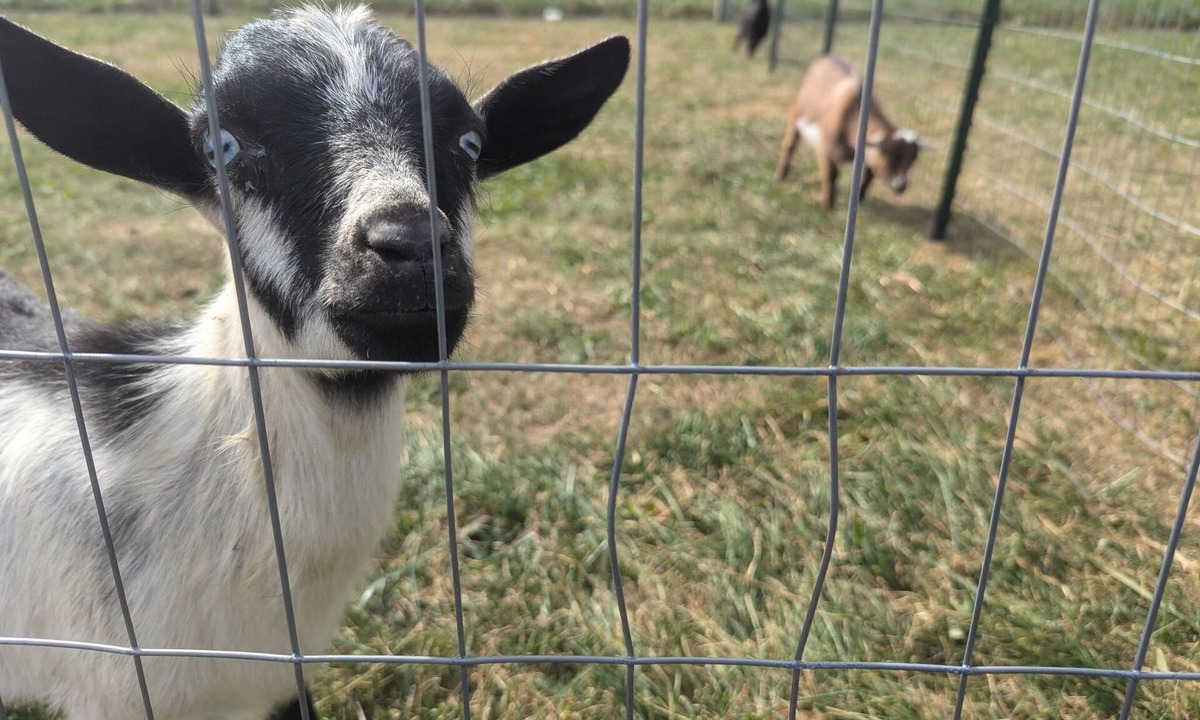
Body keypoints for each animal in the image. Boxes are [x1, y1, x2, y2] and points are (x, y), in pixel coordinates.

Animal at [774, 55, 921, 209]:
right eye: (891, 157)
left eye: (912, 160)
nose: (901, 185)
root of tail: (827, 57)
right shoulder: (824, 147)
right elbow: (831, 174)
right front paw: (828, 204)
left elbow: (868, 175)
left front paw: (859, 198)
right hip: (797, 113)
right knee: (790, 144)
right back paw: (781, 175)